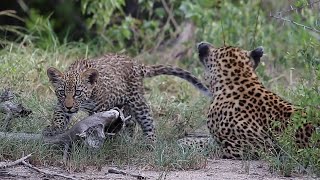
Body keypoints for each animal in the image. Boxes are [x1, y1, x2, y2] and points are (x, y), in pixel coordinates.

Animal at [44, 52, 210, 143]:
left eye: (78, 93)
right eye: (62, 92)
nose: (69, 107)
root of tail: (136, 63)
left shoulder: (100, 107)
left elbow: (96, 121)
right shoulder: (61, 105)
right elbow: (59, 115)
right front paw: (53, 129)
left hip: (137, 101)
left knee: (147, 120)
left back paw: (150, 143)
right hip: (125, 106)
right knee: (131, 123)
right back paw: (126, 139)